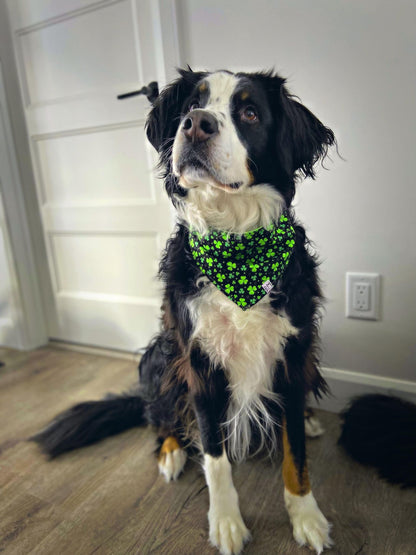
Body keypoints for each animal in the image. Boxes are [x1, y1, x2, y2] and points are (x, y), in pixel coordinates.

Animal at [34, 69, 336, 555]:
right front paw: (226, 522)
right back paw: (171, 452)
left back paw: (308, 421)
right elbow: (215, 454)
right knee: (160, 418)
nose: (195, 125)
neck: (237, 243)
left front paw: (306, 515)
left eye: (250, 112)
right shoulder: (199, 361)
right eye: (189, 107)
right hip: (158, 355)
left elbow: (296, 455)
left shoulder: (292, 353)